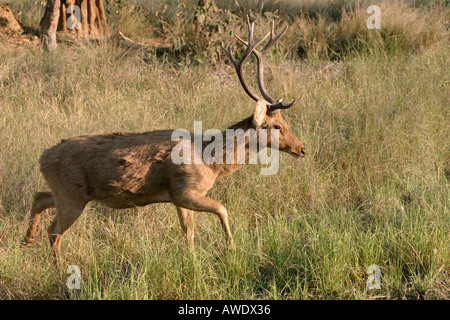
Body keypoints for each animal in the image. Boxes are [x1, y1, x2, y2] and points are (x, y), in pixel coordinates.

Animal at [23, 19, 306, 258]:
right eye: (277, 126)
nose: (302, 148)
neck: (212, 163)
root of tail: (42, 158)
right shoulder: (184, 189)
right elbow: (222, 209)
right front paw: (232, 247)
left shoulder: (177, 197)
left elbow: (188, 233)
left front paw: (192, 262)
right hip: (72, 196)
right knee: (54, 232)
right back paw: (58, 268)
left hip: (69, 193)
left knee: (39, 197)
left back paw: (27, 239)